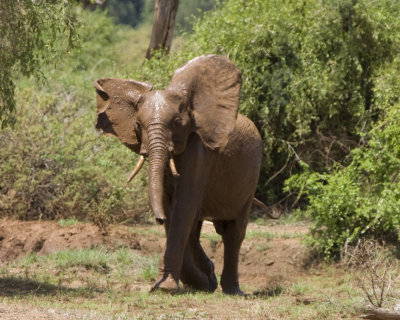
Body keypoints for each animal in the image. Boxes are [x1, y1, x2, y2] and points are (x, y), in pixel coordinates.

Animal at [95, 54, 274, 296]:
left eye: (178, 123)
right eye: (138, 125)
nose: (157, 219)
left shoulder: (199, 152)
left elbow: (183, 206)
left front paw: (165, 288)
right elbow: (175, 210)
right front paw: (202, 279)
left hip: (251, 176)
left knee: (233, 233)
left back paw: (231, 291)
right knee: (198, 227)